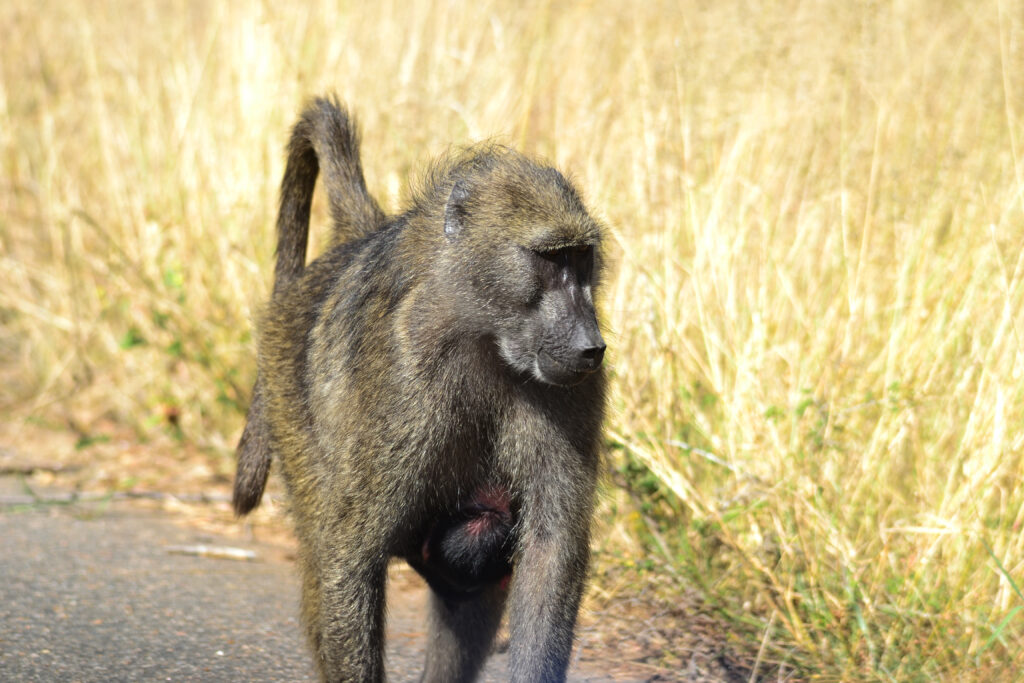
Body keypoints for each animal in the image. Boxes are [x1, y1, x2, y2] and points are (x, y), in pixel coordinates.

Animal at [232, 95, 607, 683]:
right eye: (551, 258)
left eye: (582, 257)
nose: (591, 345)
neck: (482, 332)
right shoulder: (405, 375)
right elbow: (349, 552)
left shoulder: (572, 390)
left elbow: (550, 555)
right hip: (287, 401)